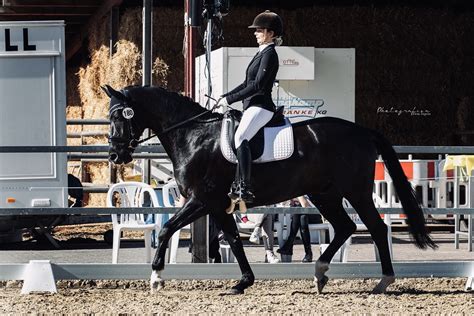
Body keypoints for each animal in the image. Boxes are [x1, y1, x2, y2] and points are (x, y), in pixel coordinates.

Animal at [103, 84, 436, 294]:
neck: (194, 135)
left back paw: (383, 282)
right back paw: (320, 274)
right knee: (345, 227)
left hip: (355, 191)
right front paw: (243, 282)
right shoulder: (218, 205)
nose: (115, 155)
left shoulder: (202, 200)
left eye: (120, 115)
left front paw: (156, 278)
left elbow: (166, 229)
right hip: (324, 194)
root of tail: (363, 131)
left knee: (376, 228)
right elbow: (234, 240)